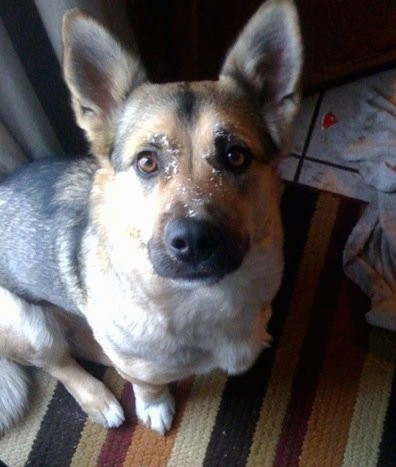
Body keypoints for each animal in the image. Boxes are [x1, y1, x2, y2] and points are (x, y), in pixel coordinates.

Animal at [0, 0, 304, 436]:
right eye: (147, 162)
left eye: (236, 156)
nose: (193, 240)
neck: (202, 301)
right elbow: (146, 384)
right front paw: (154, 404)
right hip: (27, 324)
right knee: (59, 361)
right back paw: (100, 397)